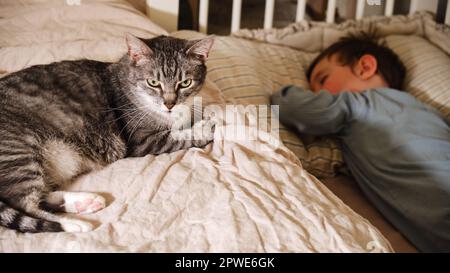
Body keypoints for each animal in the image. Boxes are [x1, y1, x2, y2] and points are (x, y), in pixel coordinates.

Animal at [0, 33, 216, 232]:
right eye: (153, 83)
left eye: (185, 83)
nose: (170, 104)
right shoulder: (142, 140)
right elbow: (177, 136)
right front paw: (204, 127)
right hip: (20, 152)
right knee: (25, 204)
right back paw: (73, 224)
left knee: (41, 198)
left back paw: (85, 202)